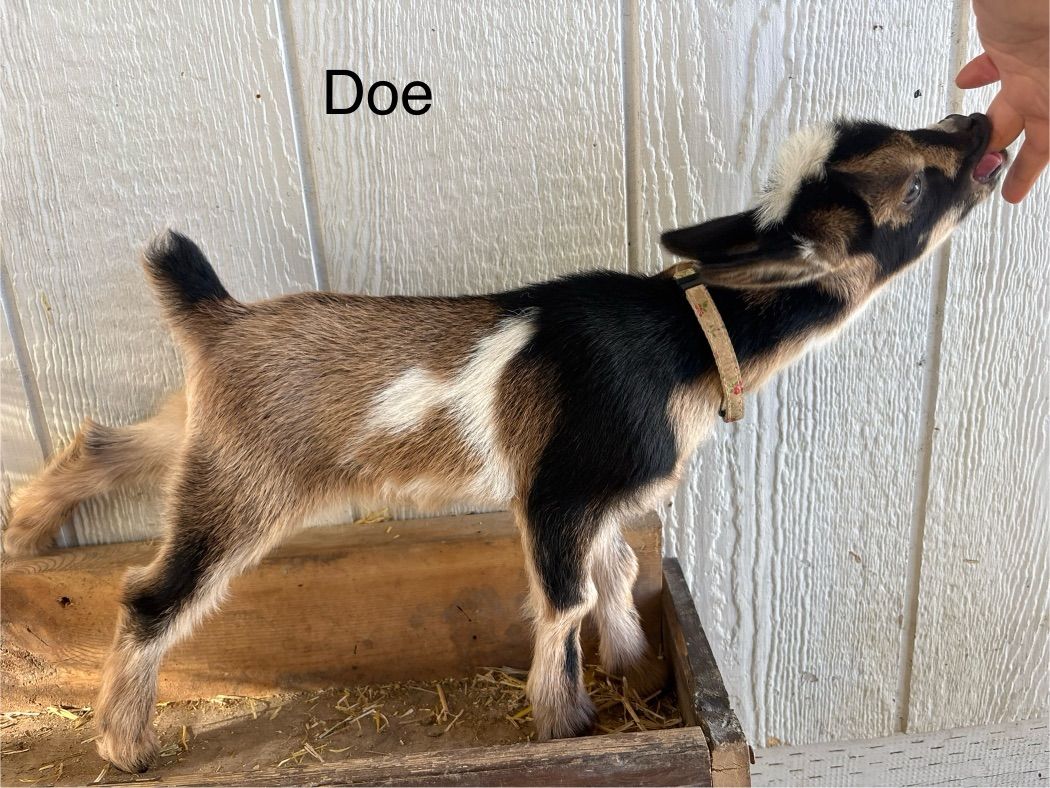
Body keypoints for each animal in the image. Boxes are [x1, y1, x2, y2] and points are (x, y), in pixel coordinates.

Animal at [3, 114, 1006, 772]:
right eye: (915, 186)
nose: (979, 120)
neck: (688, 335)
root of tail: (216, 317)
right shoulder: (557, 493)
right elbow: (564, 600)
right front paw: (568, 728)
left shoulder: (605, 501)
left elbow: (615, 573)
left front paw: (634, 670)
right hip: (246, 481)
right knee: (150, 595)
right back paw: (124, 744)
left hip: (194, 433)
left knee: (101, 442)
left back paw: (24, 533)